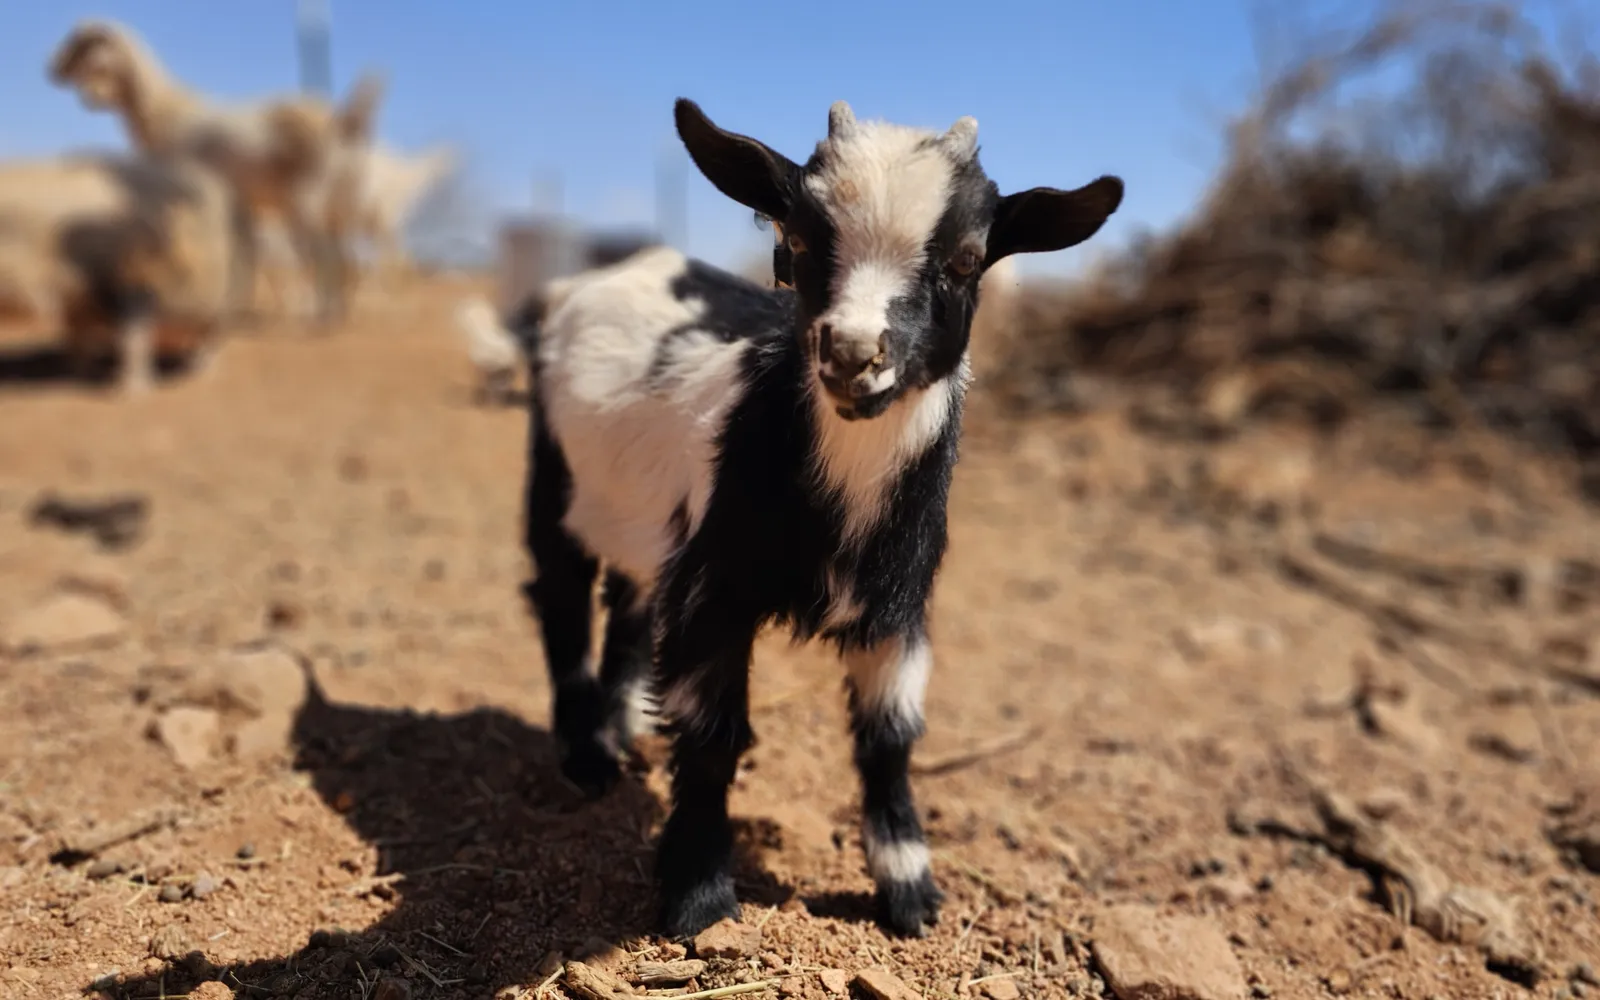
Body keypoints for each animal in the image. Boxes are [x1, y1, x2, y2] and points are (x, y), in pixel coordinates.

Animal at [0, 152, 237, 395]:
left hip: (223, 302)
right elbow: (77, 337)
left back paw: (201, 370)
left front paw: (132, 392)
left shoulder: (135, 284)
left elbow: (132, 336)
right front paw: (83, 374)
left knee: (213, 334)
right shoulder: (77, 301)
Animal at [47, 19, 384, 326]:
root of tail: (342, 121)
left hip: (305, 200)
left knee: (325, 252)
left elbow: (209, 253)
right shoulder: (239, 203)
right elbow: (245, 255)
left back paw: (322, 318)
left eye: (82, 46)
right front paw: (235, 309)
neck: (168, 112)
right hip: (341, 204)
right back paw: (339, 312)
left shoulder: (190, 198)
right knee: (345, 255)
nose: (50, 70)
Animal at [510, 97, 1122, 939]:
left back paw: (623, 723)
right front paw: (699, 898)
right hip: (554, 474)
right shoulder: (714, 591)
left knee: (629, 603)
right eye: (797, 241)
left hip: (643, 521)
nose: (855, 355)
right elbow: (712, 738)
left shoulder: (899, 606)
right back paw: (587, 757)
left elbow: (890, 738)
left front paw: (911, 893)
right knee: (562, 597)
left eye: (967, 259)